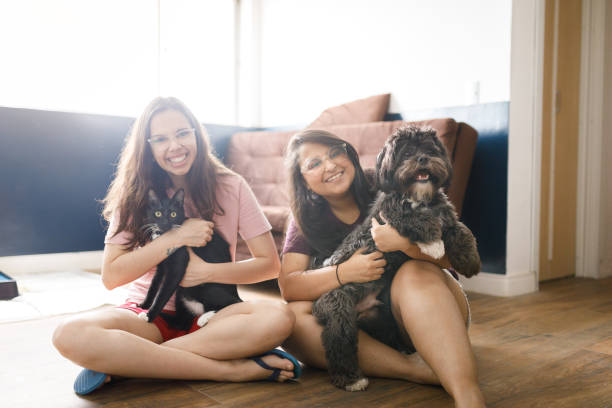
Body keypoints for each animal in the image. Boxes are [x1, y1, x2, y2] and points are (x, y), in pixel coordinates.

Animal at [138, 190, 241, 330]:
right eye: (157, 213)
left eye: (173, 214)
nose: (165, 223)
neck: (164, 237)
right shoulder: (160, 266)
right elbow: (153, 286)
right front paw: (144, 305)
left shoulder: (179, 265)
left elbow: (162, 294)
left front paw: (149, 316)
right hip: (181, 295)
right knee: (181, 322)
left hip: (207, 288)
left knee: (235, 303)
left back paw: (204, 318)